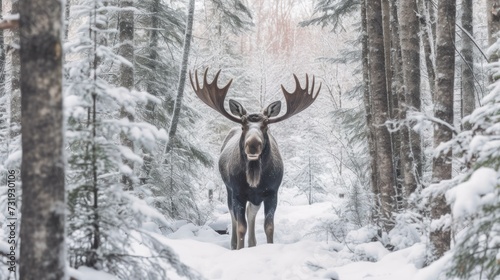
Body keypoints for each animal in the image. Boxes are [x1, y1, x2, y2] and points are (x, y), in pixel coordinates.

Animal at [189, 68, 318, 249]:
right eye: (243, 125)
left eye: (266, 125)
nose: (253, 144)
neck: (254, 176)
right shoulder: (237, 192)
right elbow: (240, 226)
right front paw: (239, 248)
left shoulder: (272, 192)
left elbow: (269, 226)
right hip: (229, 189)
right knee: (233, 215)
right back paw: (234, 243)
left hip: (256, 198)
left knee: (251, 211)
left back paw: (252, 243)